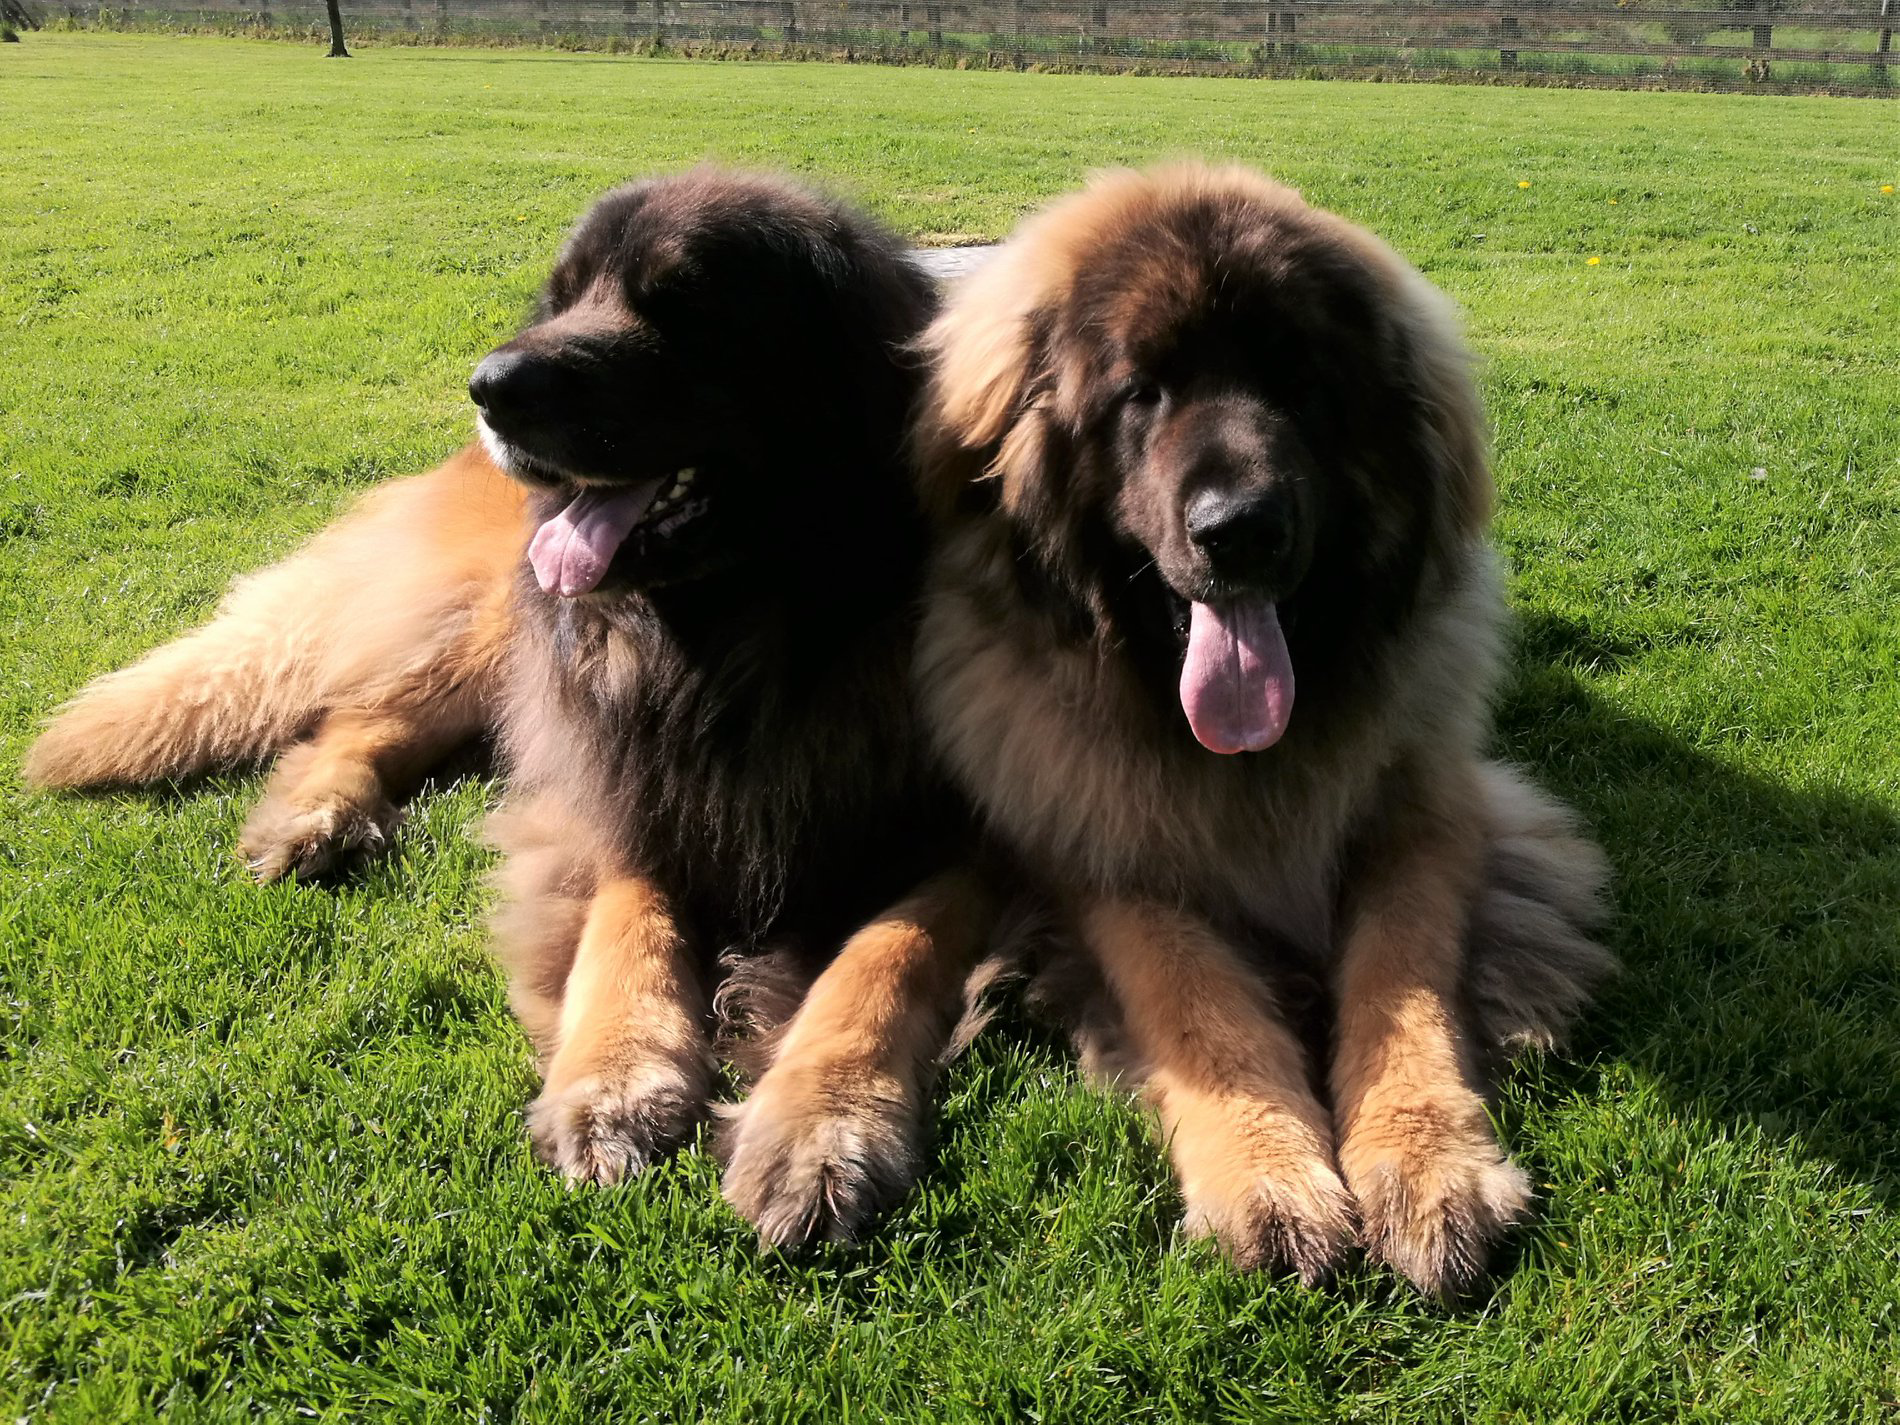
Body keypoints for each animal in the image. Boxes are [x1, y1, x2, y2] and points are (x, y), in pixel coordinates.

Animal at [912, 164, 1611, 1292]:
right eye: (1142, 390)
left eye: (1298, 384)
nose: (1237, 529)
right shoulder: (1098, 844)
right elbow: (1195, 997)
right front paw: (1266, 1174)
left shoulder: (1426, 808)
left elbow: (1401, 972)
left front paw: (1425, 1161)